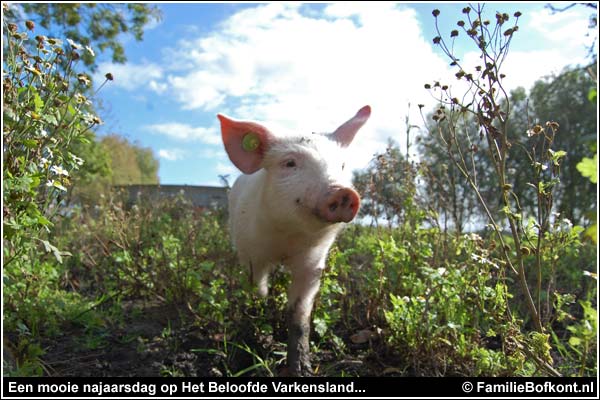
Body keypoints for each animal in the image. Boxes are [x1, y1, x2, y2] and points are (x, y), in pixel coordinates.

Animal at [219, 105, 370, 376]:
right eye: (290, 163)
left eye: (342, 165)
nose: (343, 192)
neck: (288, 239)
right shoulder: (252, 255)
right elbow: (257, 289)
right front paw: (259, 327)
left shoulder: (313, 264)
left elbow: (300, 315)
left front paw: (302, 370)